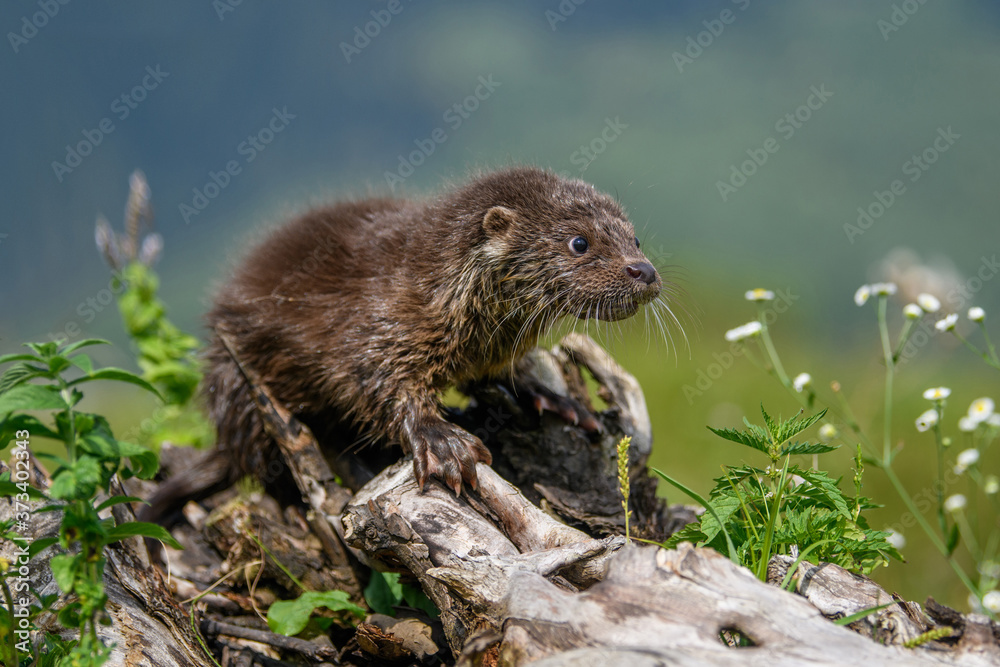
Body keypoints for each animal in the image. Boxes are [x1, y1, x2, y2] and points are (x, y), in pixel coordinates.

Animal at [146, 167, 664, 520]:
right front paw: (443, 442)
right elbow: (379, 383)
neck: (436, 292)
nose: (644, 270)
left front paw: (555, 399)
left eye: (635, 238)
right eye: (579, 243)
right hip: (239, 379)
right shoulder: (377, 326)